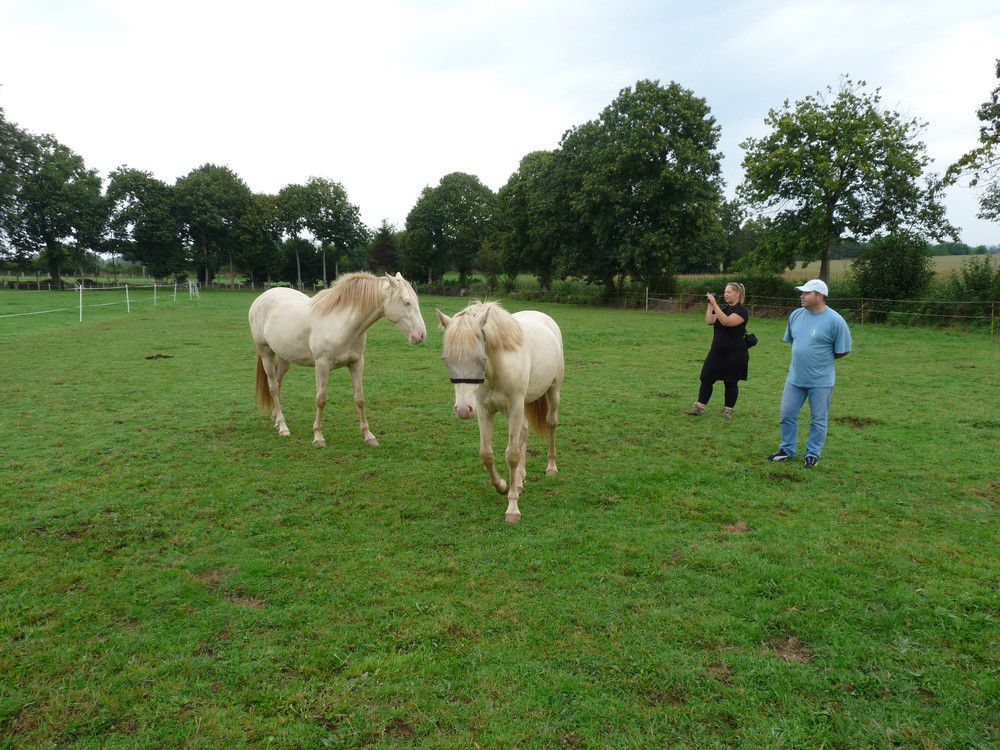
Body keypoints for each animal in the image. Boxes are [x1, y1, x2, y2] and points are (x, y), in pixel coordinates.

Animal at [249, 272, 427, 447]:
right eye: (406, 302)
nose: (421, 335)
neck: (342, 323)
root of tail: (262, 297)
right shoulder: (322, 365)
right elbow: (321, 399)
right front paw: (318, 437)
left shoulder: (356, 363)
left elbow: (360, 398)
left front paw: (368, 435)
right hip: (266, 353)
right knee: (273, 387)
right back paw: (283, 427)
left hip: (285, 357)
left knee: (278, 384)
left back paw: (276, 419)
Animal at [436, 301, 564, 524]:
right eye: (446, 360)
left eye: (480, 358)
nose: (463, 410)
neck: (497, 369)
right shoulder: (484, 411)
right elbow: (486, 454)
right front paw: (504, 486)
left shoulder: (514, 409)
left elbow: (511, 455)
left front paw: (512, 508)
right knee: (524, 432)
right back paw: (519, 479)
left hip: (552, 391)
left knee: (551, 423)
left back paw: (551, 467)